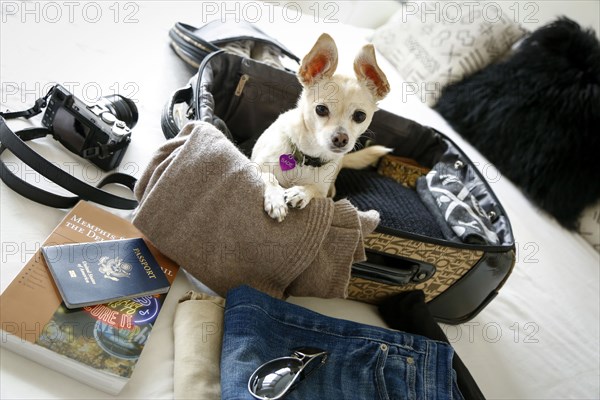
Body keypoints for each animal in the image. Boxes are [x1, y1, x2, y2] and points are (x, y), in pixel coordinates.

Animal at [251, 33, 392, 222]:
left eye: (360, 116)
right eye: (321, 109)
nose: (341, 138)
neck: (308, 157)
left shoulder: (321, 191)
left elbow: (315, 190)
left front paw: (301, 192)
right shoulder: (254, 166)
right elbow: (269, 176)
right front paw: (276, 199)